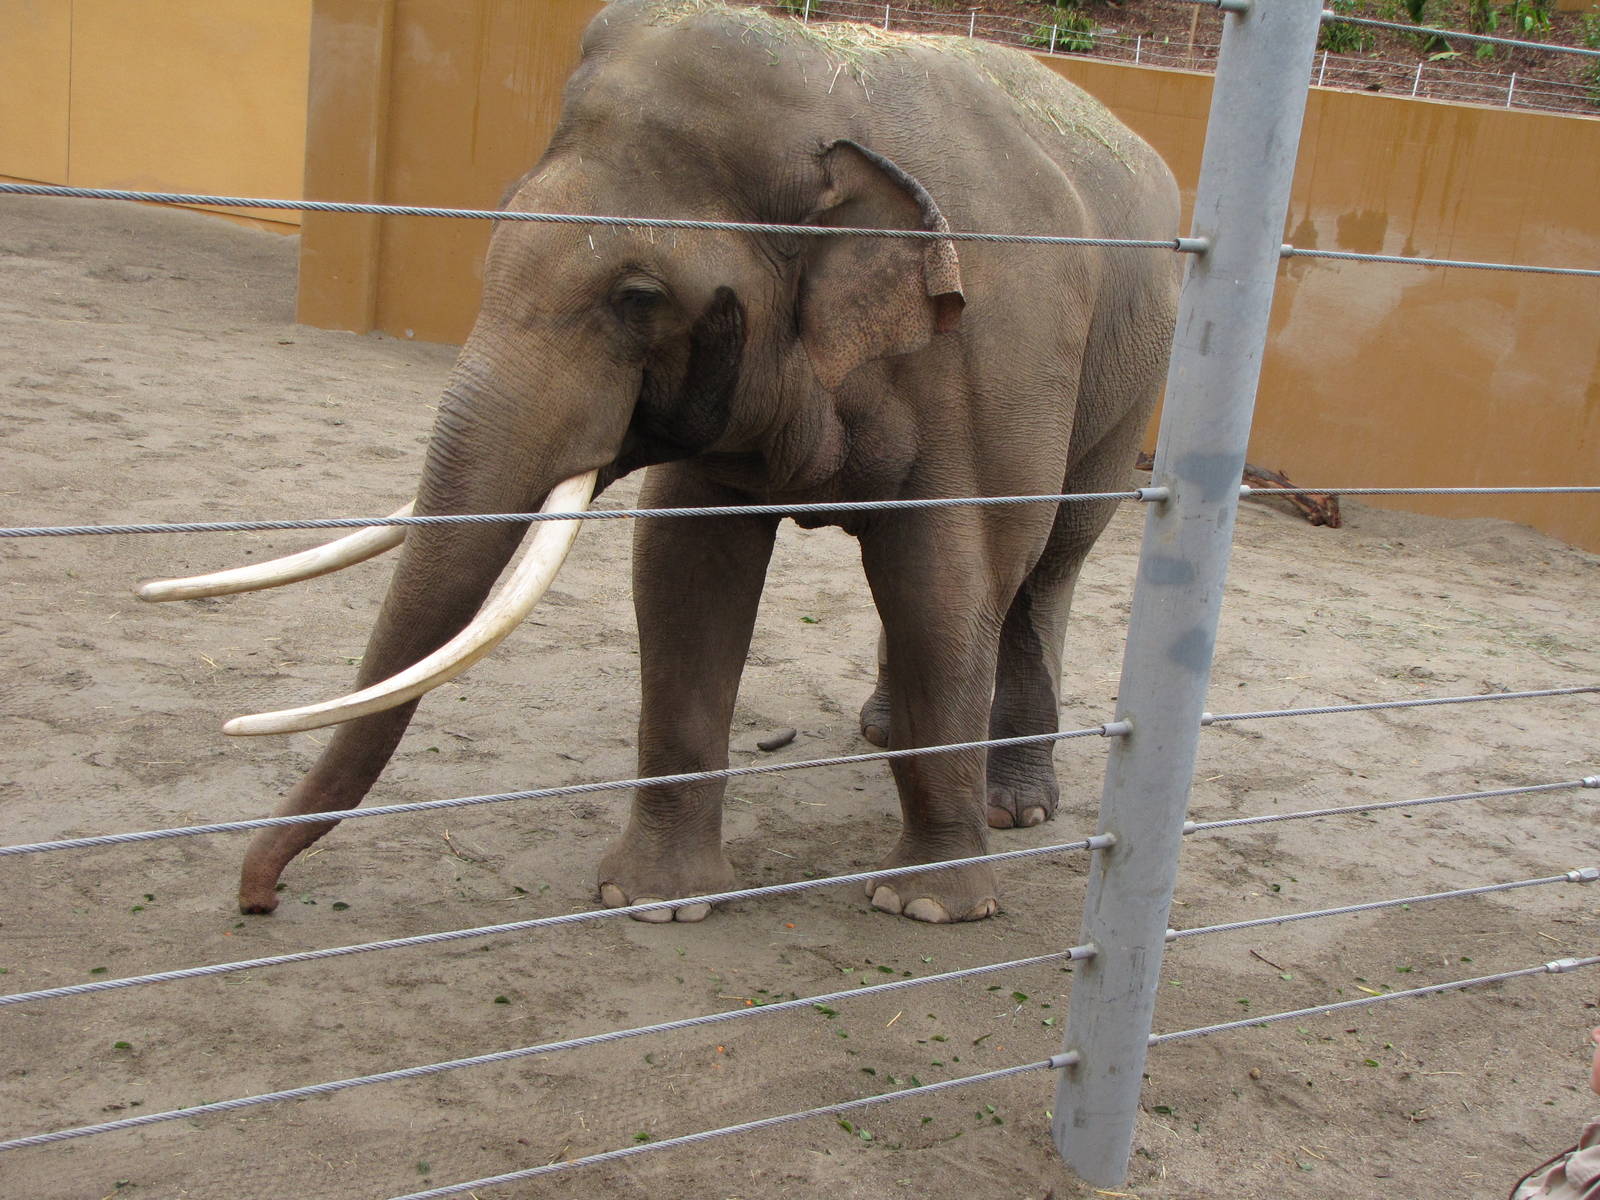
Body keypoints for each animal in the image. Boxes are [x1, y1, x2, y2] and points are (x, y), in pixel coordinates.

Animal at [141, 0, 1181, 923]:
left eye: (638, 296)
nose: (259, 898)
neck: (827, 83)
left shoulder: (988, 362)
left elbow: (944, 578)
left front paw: (927, 906)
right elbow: (684, 574)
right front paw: (653, 902)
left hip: (1131, 382)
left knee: (1044, 567)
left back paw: (1015, 805)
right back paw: (883, 734)